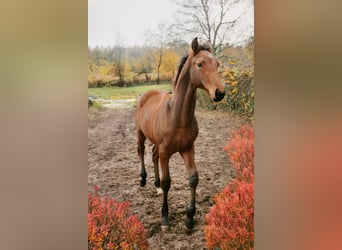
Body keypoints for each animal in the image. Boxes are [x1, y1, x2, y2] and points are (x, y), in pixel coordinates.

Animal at [135, 38, 226, 229]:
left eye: (217, 64)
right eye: (199, 64)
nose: (219, 93)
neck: (178, 116)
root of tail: (146, 93)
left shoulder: (188, 148)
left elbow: (193, 178)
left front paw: (189, 218)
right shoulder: (166, 152)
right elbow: (167, 182)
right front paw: (164, 218)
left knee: (153, 155)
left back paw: (155, 185)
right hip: (140, 133)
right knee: (141, 151)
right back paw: (143, 179)